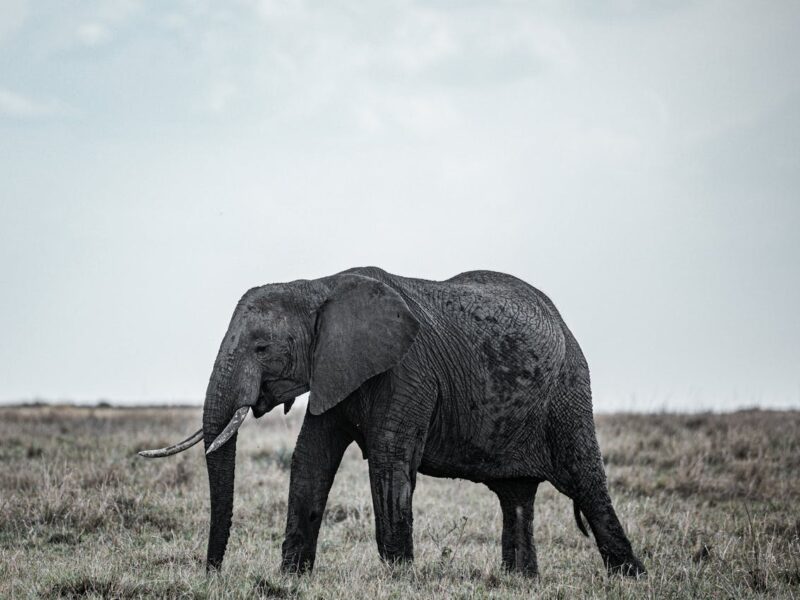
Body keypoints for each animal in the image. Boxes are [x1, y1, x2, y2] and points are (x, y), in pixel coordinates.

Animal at [140, 266, 645, 578]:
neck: (319, 286)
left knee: (586, 480)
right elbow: (310, 460)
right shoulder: (335, 370)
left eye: (262, 348)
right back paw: (520, 580)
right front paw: (290, 578)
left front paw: (399, 578)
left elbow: (388, 461)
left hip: (568, 388)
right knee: (516, 496)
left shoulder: (406, 370)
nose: (212, 573)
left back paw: (631, 578)